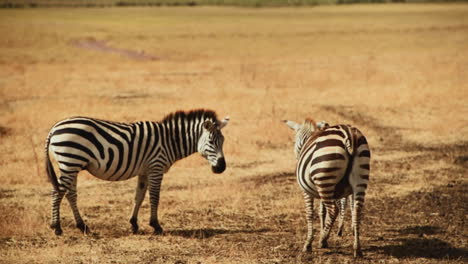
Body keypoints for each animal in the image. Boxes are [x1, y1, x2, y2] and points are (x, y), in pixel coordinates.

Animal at [44, 109, 229, 235]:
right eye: (211, 141)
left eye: (223, 141)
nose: (222, 168)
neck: (169, 141)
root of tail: (54, 128)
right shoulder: (156, 167)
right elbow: (154, 197)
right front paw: (156, 226)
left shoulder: (144, 171)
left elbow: (138, 196)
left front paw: (134, 224)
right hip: (70, 162)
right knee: (57, 193)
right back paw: (57, 227)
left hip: (72, 165)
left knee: (70, 194)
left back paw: (82, 226)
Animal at [284, 118, 372, 256]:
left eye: (295, 141)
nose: (297, 158)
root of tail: (348, 133)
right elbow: (322, 211)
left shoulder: (307, 191)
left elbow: (310, 213)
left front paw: (309, 243)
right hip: (359, 178)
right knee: (357, 210)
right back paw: (357, 248)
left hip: (324, 177)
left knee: (333, 210)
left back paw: (322, 240)